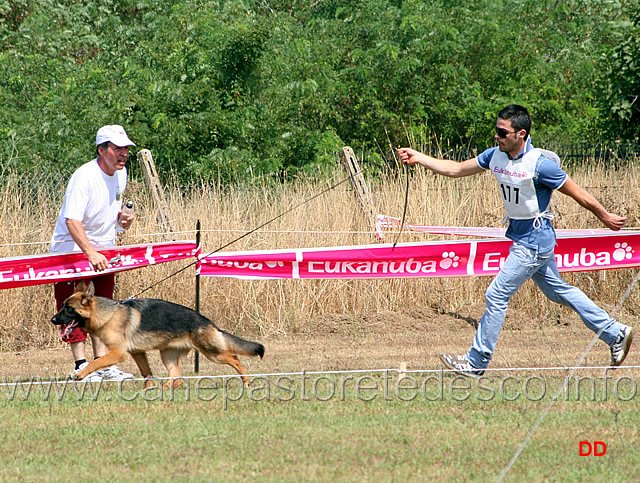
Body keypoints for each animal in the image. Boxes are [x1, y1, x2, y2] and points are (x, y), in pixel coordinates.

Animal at [50, 280, 264, 390]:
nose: (52, 319)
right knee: (177, 377)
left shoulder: (118, 353)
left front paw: (80, 374)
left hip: (212, 353)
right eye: (62, 306)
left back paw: (246, 381)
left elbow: (96, 362)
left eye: (68, 309)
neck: (108, 314)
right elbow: (146, 373)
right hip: (167, 355)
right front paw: (148, 388)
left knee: (234, 358)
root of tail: (206, 321)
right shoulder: (137, 353)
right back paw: (165, 388)